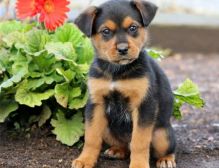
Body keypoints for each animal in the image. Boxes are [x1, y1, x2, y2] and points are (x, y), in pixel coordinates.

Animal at [72, 0, 175, 168]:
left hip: (161, 133)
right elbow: (91, 137)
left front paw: (139, 165)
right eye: (106, 31)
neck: (117, 72)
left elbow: (139, 141)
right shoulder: (96, 104)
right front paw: (85, 160)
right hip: (107, 128)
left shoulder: (144, 105)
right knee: (124, 146)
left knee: (166, 147)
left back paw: (166, 160)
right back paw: (117, 150)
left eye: (133, 28)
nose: (123, 49)